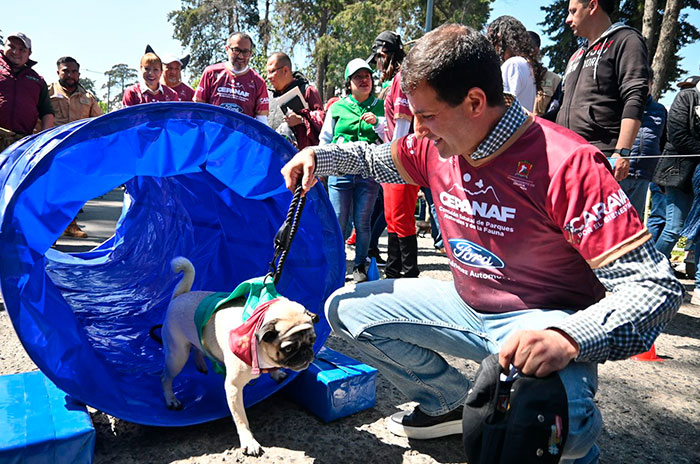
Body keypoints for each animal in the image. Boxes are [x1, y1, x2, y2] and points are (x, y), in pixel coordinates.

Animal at [160, 258, 316, 456]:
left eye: (312, 340)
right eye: (289, 348)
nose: (306, 353)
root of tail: (179, 297)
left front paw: (276, 373)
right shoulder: (233, 388)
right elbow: (241, 419)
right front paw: (249, 441)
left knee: (198, 349)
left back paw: (201, 363)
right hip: (177, 356)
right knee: (166, 377)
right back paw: (171, 399)